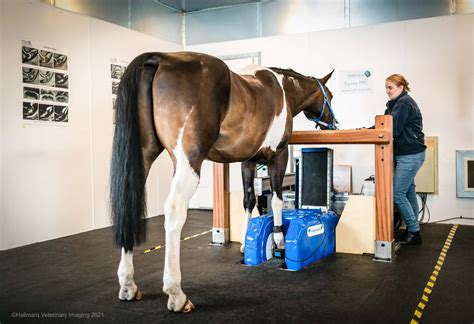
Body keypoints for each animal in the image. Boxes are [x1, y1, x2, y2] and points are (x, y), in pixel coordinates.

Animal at [110, 51, 336, 314]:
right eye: (329, 96)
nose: (334, 124)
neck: (282, 89)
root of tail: (160, 58)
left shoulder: (248, 161)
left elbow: (249, 201)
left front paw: (245, 244)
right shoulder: (277, 156)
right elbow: (277, 201)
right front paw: (279, 238)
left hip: (142, 156)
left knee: (128, 206)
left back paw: (128, 284)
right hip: (188, 162)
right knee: (174, 211)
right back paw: (176, 293)